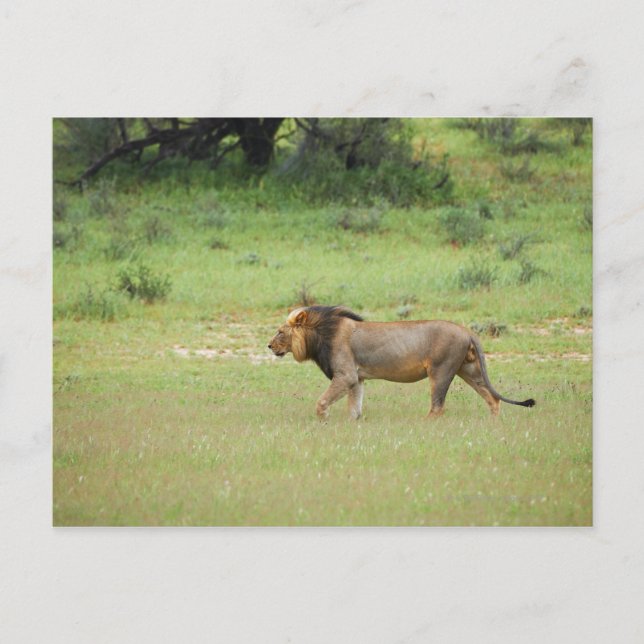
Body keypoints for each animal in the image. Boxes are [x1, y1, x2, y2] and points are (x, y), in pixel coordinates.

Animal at [268, 305, 535, 420]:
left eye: (280, 332)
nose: (269, 346)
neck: (321, 334)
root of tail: (467, 331)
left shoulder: (346, 375)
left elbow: (321, 402)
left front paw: (323, 421)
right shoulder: (357, 379)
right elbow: (355, 408)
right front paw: (352, 426)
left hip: (441, 370)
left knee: (437, 406)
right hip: (468, 369)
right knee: (492, 398)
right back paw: (494, 424)